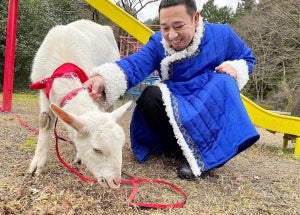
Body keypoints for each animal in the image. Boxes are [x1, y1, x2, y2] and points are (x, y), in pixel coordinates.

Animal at [29, 19, 130, 189]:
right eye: (96, 149)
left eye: (121, 145)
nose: (116, 182)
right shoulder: (43, 90)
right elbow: (44, 122)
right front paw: (37, 164)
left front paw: (79, 157)